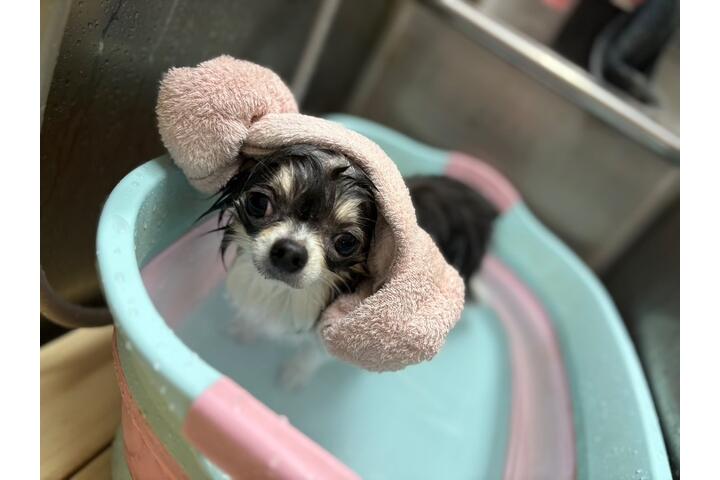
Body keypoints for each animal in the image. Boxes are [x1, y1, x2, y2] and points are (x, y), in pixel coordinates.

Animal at [205, 144, 497, 388]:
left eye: (346, 242)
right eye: (258, 202)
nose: (290, 252)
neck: (287, 294)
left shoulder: (336, 329)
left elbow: (312, 354)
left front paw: (294, 375)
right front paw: (245, 329)